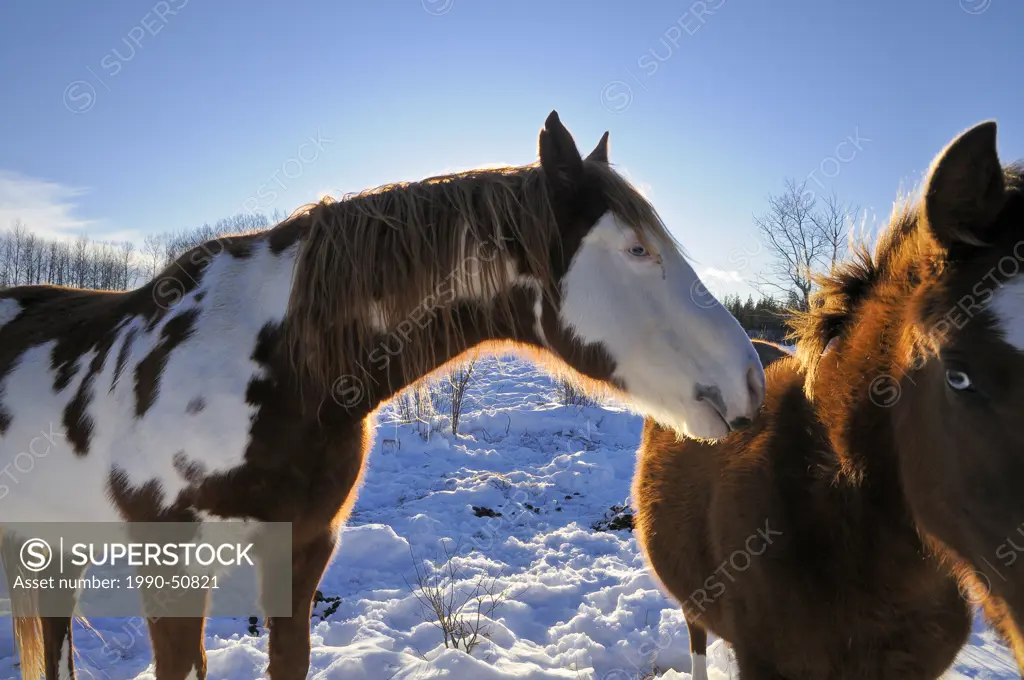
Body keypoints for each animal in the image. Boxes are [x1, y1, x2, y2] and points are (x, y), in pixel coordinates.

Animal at [2, 111, 770, 680]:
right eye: (637, 250)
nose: (752, 378)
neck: (283, 369)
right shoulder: (172, 572)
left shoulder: (302, 555)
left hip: (49, 550)